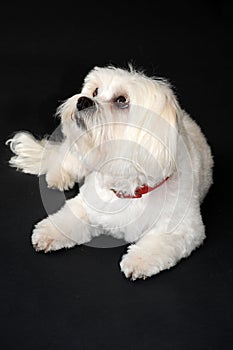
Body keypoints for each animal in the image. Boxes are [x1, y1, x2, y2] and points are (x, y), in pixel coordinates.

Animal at [6, 65, 213, 278]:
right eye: (95, 92)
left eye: (121, 100)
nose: (83, 100)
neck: (128, 186)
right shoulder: (87, 205)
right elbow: (69, 217)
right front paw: (50, 231)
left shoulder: (182, 229)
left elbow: (160, 243)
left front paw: (139, 260)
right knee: (61, 157)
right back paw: (59, 177)